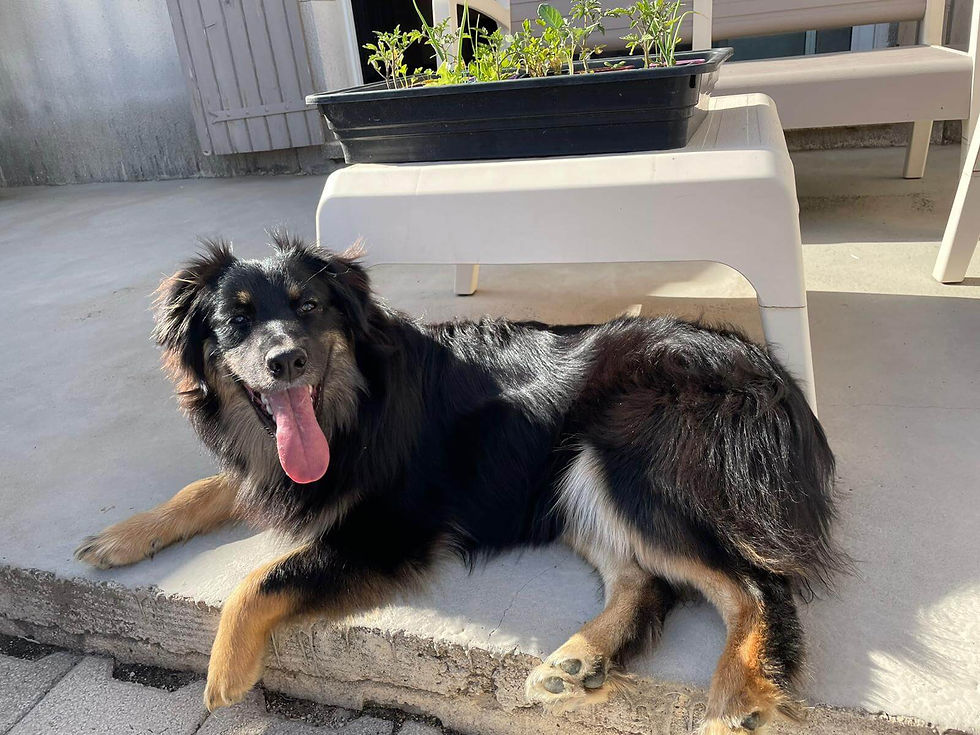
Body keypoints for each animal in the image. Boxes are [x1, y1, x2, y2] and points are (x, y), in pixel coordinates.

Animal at [76, 233, 844, 733]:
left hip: (621, 461)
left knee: (753, 583)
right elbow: (205, 489)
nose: (286, 360)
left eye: (310, 308)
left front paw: (223, 670)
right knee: (648, 582)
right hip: (571, 484)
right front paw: (122, 536)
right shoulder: (294, 474)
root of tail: (770, 374)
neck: (357, 403)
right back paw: (577, 661)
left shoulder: (388, 531)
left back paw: (735, 695)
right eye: (235, 319)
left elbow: (261, 577)